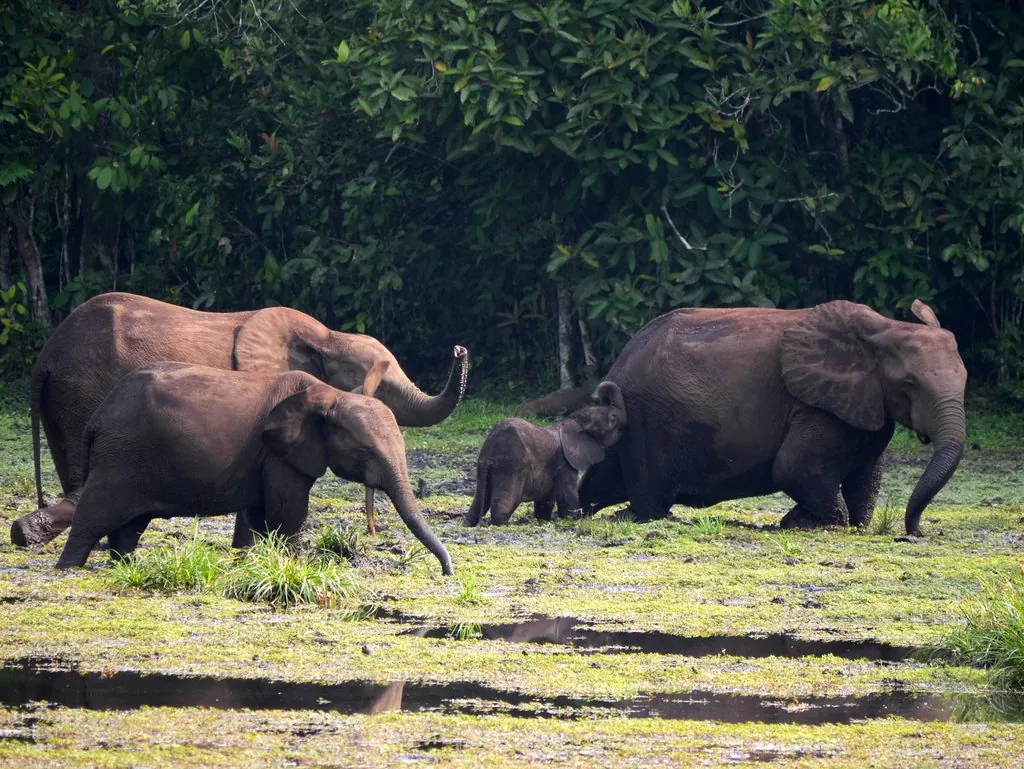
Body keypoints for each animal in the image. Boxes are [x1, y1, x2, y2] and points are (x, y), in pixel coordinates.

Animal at [12, 292, 469, 547]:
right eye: (381, 383)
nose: (459, 349)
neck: (325, 338)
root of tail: (45, 357)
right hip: (82, 391)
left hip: (65, 397)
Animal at [54, 361, 453, 575]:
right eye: (362, 451)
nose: (447, 572)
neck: (331, 396)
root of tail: (99, 417)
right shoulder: (279, 456)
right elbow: (287, 512)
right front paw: (292, 563)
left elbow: (263, 515)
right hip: (120, 456)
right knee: (94, 517)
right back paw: (67, 568)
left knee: (127, 530)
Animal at [465, 381, 626, 526]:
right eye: (613, 419)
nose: (595, 394)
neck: (571, 422)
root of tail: (489, 455)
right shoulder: (565, 461)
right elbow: (566, 493)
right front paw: (573, 519)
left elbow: (547, 498)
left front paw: (543, 520)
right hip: (510, 466)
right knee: (506, 500)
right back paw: (500, 523)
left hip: (485, 467)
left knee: (480, 498)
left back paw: (469, 522)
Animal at [578, 300, 967, 535]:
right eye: (910, 384)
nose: (915, 532)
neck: (885, 330)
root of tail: (622, 358)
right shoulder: (814, 405)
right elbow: (793, 467)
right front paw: (802, 522)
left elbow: (866, 478)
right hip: (646, 417)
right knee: (651, 498)